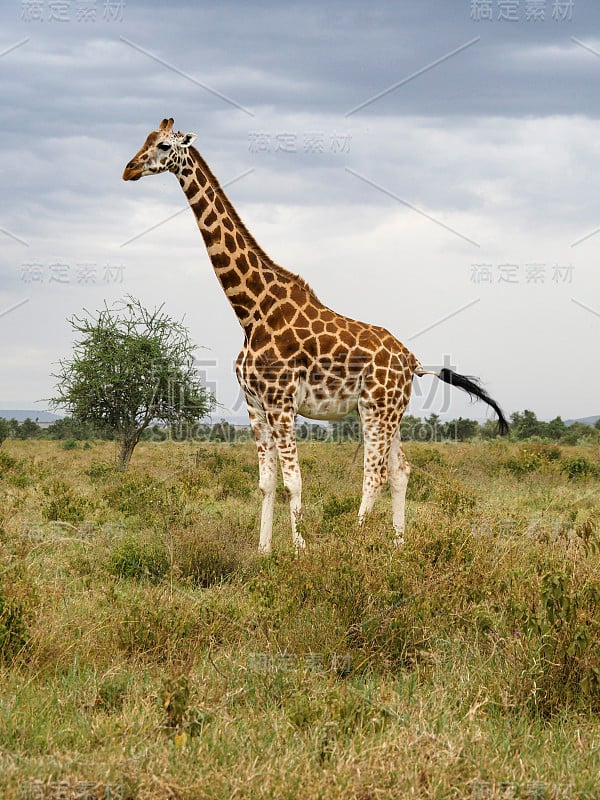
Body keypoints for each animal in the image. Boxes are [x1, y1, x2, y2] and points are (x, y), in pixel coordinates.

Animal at [124, 119, 508, 552]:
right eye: (144, 139)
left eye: (163, 146)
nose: (129, 170)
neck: (250, 310)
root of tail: (412, 361)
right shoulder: (255, 404)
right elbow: (266, 483)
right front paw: (264, 551)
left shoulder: (281, 401)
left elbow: (293, 481)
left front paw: (300, 550)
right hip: (392, 411)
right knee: (400, 471)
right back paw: (398, 545)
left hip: (375, 408)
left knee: (374, 475)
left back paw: (354, 542)